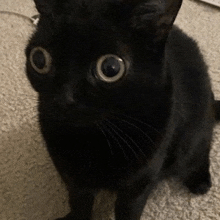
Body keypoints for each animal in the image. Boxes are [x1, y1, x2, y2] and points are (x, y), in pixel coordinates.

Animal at [24, 0, 220, 220]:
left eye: (110, 68)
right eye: (39, 59)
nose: (64, 98)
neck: (94, 139)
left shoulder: (137, 188)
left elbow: (128, 211)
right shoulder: (75, 182)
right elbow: (79, 205)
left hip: (194, 133)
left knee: (200, 148)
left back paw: (200, 180)